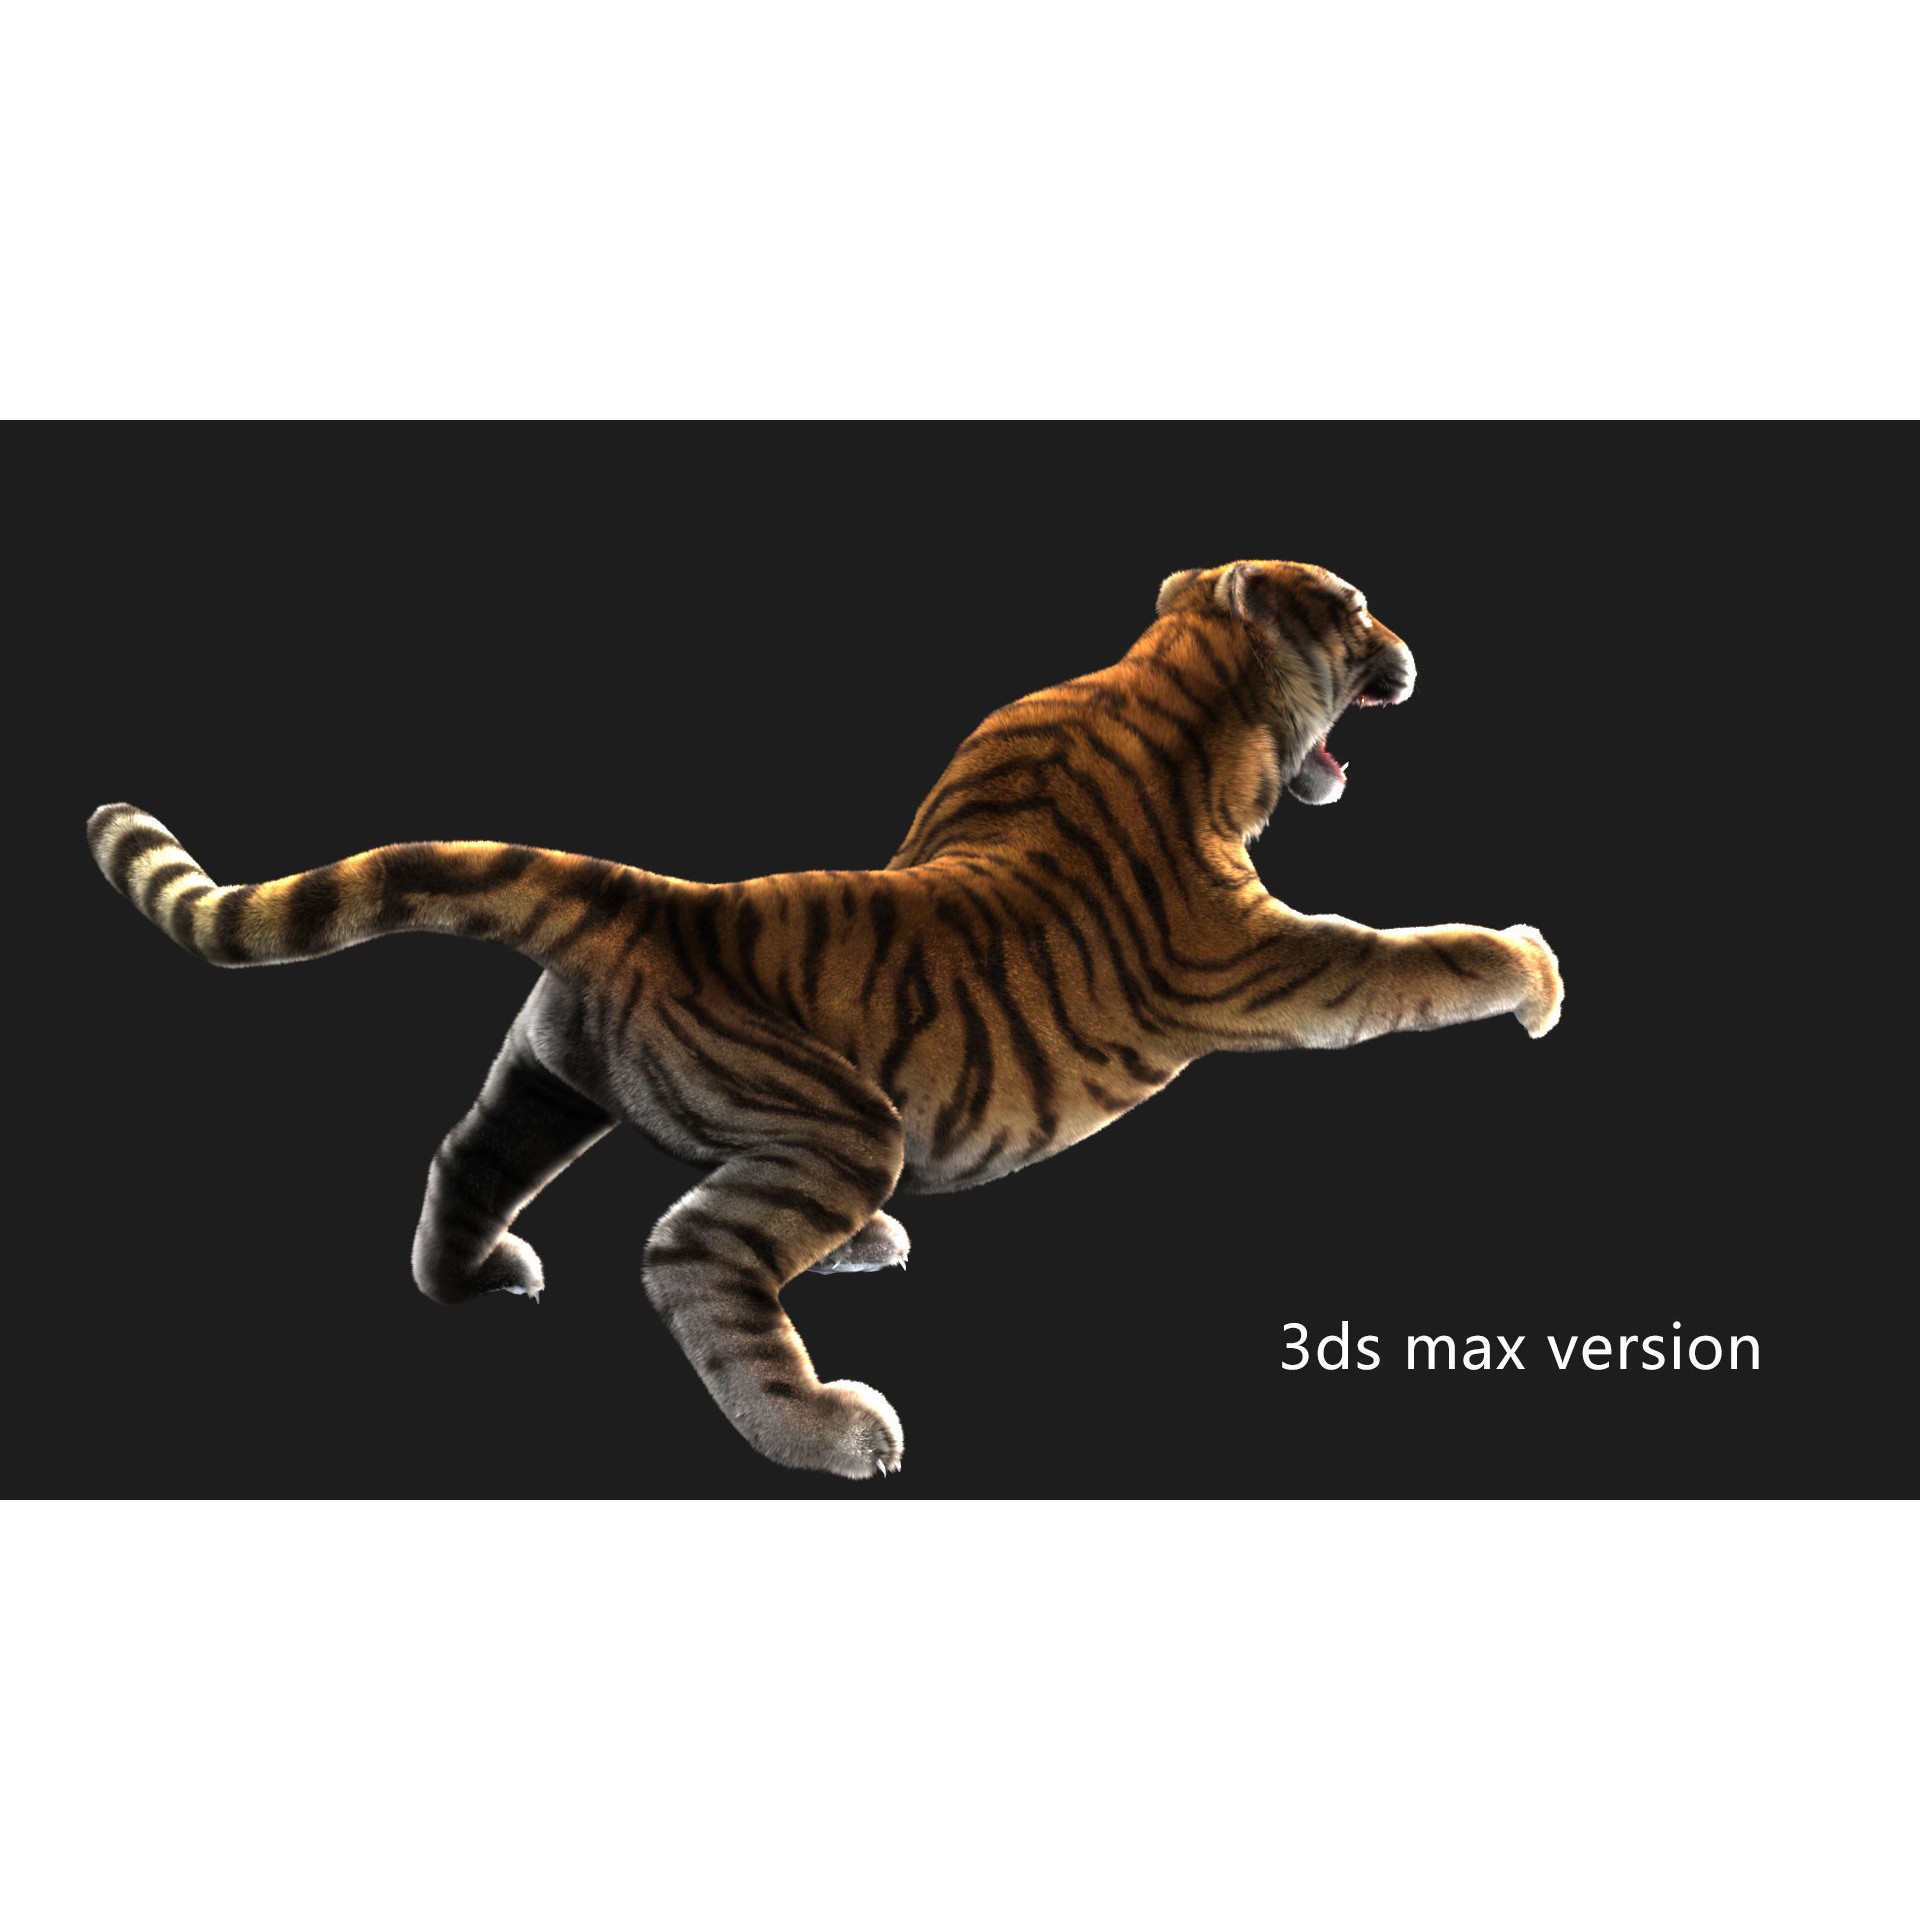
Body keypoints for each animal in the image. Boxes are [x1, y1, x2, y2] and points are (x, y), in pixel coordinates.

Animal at [87, 558, 1563, 1480]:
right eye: (1355, 607)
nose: (1406, 648)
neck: (1176, 677)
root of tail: (656, 898)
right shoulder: (1264, 961)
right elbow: (1411, 962)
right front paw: (1532, 972)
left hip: (552, 1080)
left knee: (467, 1158)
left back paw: (479, 1279)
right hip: (838, 1121)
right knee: (694, 1250)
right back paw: (830, 1426)